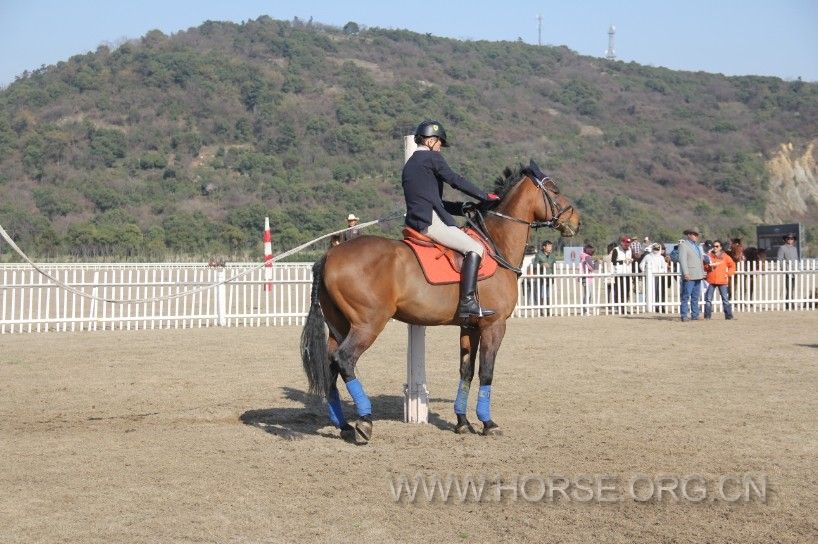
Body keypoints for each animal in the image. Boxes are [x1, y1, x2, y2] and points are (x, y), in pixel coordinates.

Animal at [300, 160, 580, 442]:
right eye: (555, 191)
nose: (575, 221)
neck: (495, 244)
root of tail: (330, 255)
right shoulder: (494, 325)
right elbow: (486, 371)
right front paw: (488, 423)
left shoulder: (470, 327)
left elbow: (467, 371)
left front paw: (462, 422)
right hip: (367, 325)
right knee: (345, 359)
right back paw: (364, 422)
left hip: (340, 326)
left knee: (330, 364)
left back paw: (344, 425)